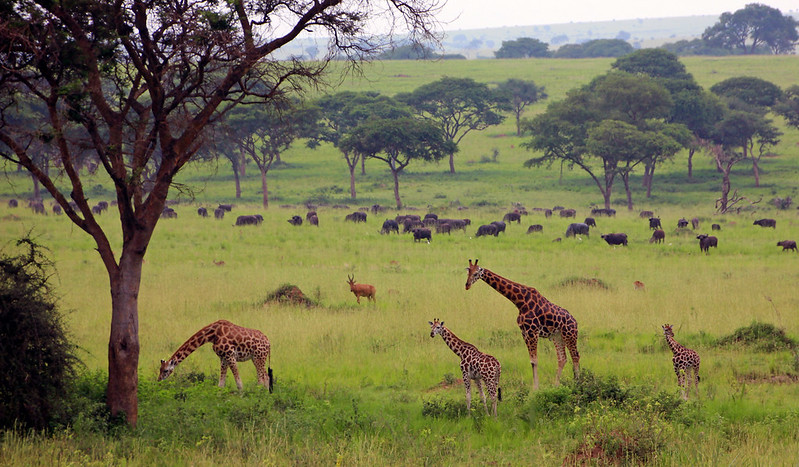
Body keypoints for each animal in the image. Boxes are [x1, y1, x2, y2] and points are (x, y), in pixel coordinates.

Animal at [462, 260, 580, 392]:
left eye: (476, 273)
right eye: (468, 272)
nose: (467, 285)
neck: (520, 302)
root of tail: (575, 322)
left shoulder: (532, 331)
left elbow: (535, 360)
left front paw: (535, 388)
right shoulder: (524, 332)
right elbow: (532, 361)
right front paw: (536, 387)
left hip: (569, 335)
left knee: (575, 356)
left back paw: (578, 382)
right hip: (557, 337)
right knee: (562, 358)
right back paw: (556, 386)